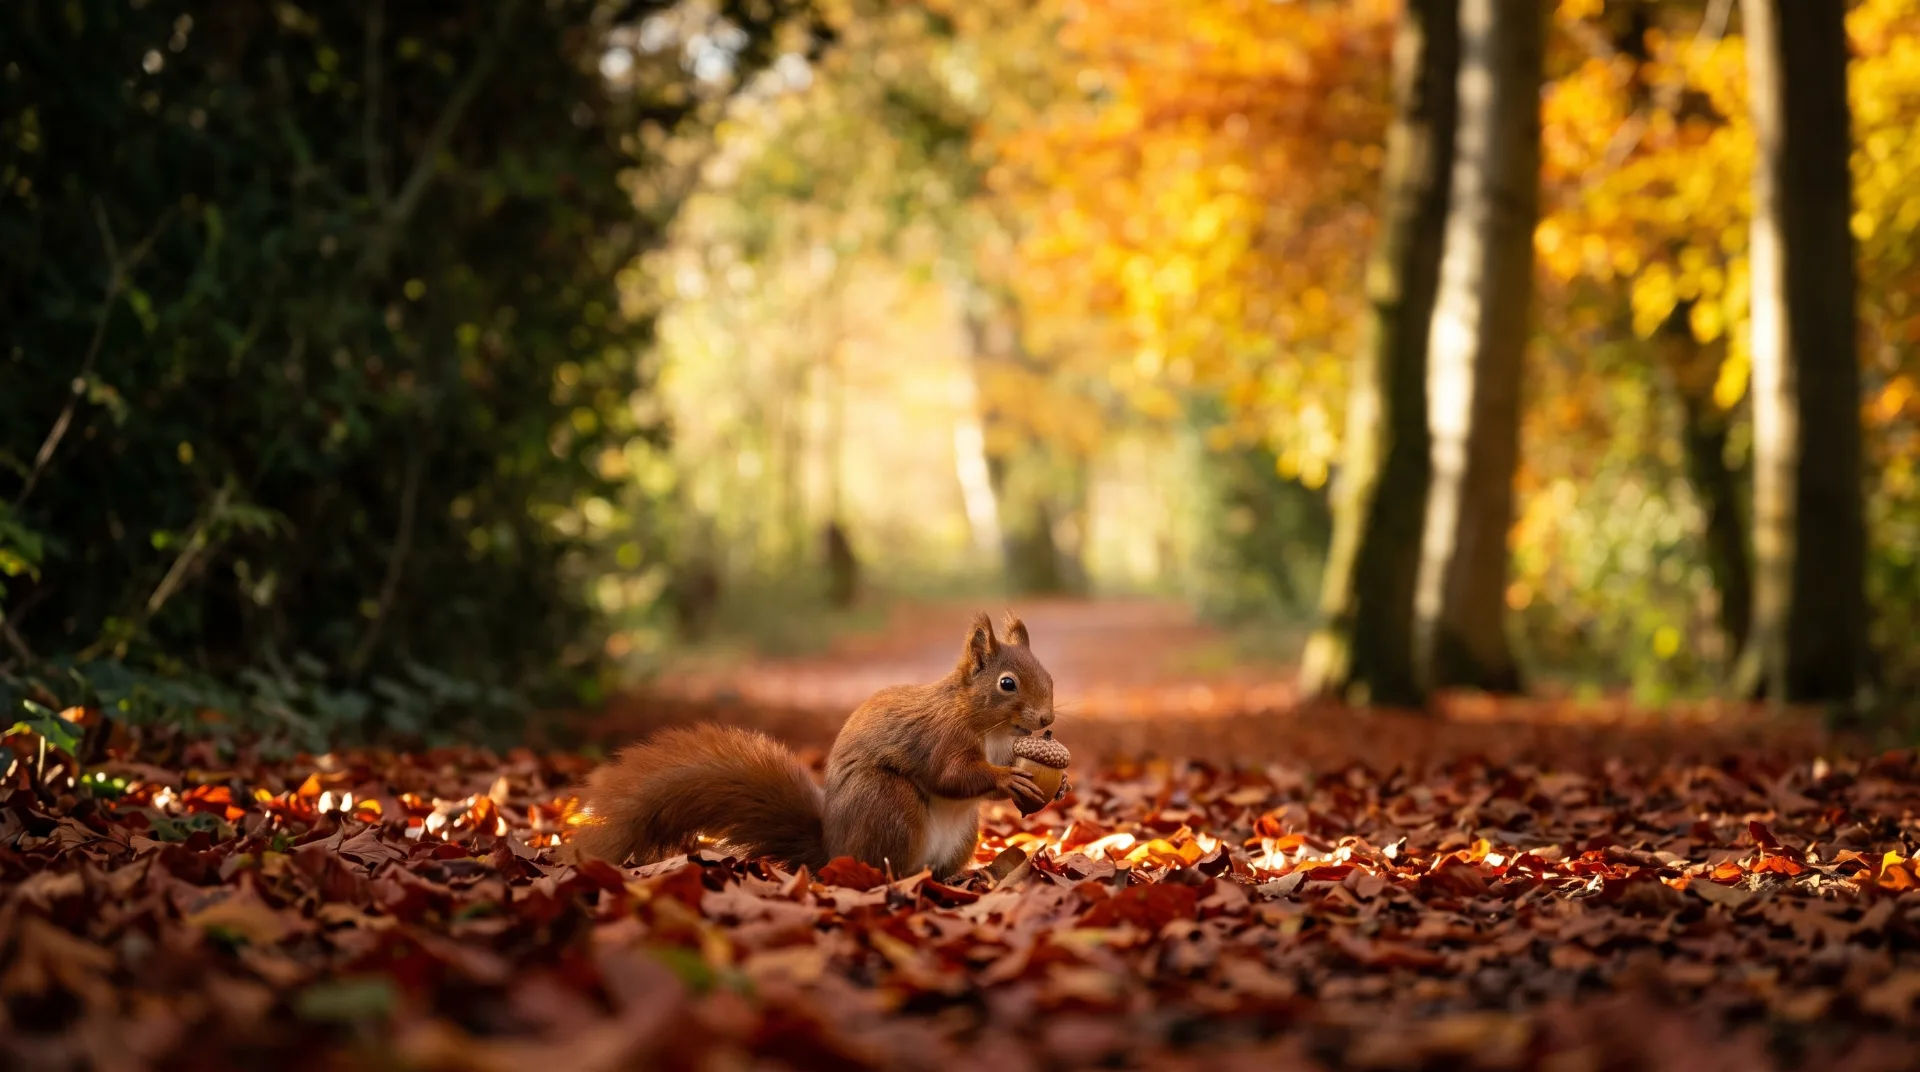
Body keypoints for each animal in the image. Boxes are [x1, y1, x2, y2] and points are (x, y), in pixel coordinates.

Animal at [573, 611, 1066, 878]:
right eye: (1007, 683)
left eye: (1049, 674)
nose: (1047, 720)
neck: (993, 729)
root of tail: (833, 851)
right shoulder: (941, 738)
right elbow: (953, 775)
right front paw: (1007, 780)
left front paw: (1057, 786)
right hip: (890, 807)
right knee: (890, 866)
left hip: (962, 836)